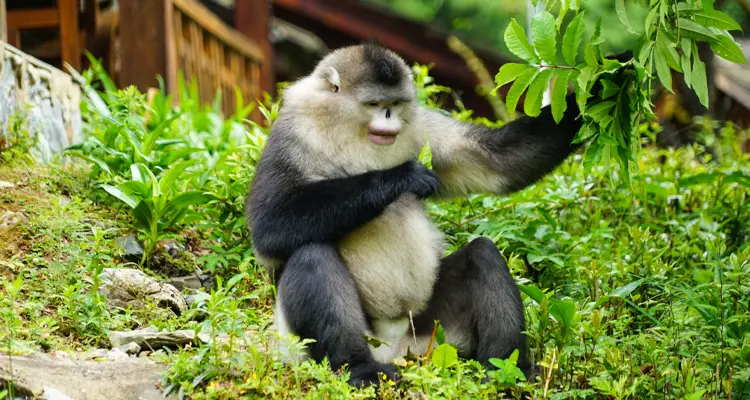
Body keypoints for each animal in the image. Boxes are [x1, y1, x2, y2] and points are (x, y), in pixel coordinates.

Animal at [246, 42, 617, 388]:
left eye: (394, 105)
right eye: (374, 105)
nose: (389, 118)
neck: (351, 133)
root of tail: (392, 346)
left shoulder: (418, 125)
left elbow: (500, 161)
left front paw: (606, 85)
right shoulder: (292, 133)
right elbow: (268, 226)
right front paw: (401, 177)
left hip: (432, 336)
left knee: (483, 253)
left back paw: (505, 368)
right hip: (302, 345)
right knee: (311, 252)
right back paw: (359, 367)